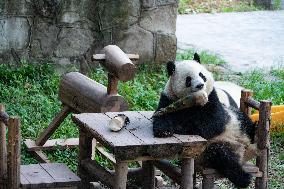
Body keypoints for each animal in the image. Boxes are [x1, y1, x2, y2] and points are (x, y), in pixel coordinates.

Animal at [153, 54, 258, 188]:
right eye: (188, 79)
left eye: (201, 75)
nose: (200, 85)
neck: (192, 102)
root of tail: (244, 145)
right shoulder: (169, 99)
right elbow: (161, 115)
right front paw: (164, 131)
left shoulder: (213, 99)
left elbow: (213, 123)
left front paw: (181, 127)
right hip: (212, 148)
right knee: (223, 158)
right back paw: (244, 178)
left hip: (236, 119)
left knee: (245, 123)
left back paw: (256, 130)